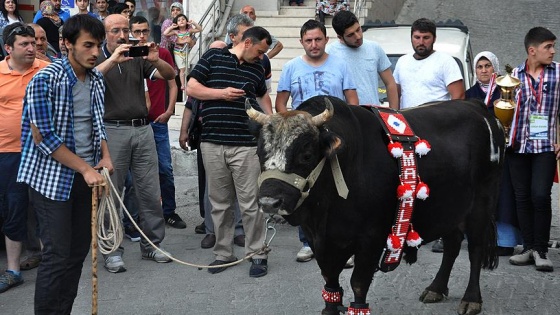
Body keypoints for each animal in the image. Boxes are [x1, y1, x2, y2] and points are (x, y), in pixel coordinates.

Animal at [247, 97, 506, 315]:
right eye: (259, 153)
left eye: (307, 154)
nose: (270, 202)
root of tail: (476, 105)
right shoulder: (321, 241)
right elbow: (331, 284)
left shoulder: (371, 239)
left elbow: (358, 285)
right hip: (451, 209)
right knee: (452, 244)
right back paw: (436, 288)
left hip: (482, 205)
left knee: (475, 249)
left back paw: (471, 299)